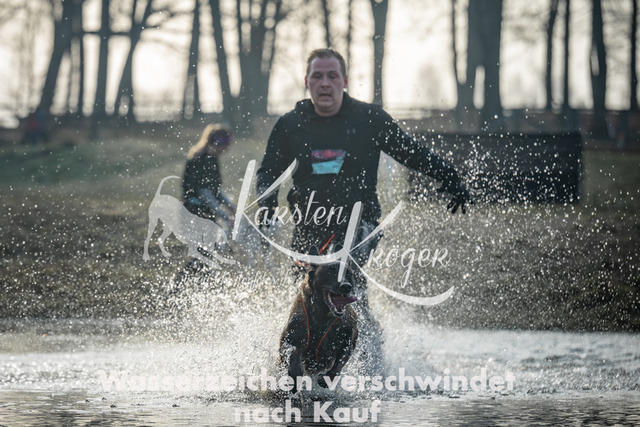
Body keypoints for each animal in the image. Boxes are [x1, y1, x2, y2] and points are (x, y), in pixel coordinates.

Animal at [279, 262, 358, 391]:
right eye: (331, 271)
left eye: (349, 273)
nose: (346, 286)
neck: (322, 316)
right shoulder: (293, 334)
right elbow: (291, 350)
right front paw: (295, 374)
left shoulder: (346, 337)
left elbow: (341, 360)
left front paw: (326, 379)